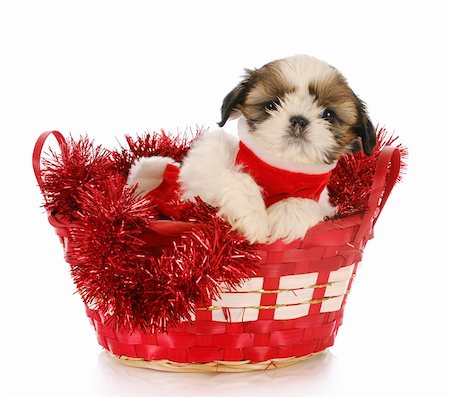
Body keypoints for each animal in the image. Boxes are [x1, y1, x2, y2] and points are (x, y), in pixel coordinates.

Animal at [127, 54, 376, 243]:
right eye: (271, 105)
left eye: (328, 115)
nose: (299, 120)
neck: (281, 170)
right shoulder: (207, 157)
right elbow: (234, 177)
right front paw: (253, 219)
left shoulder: (319, 198)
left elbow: (305, 201)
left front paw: (285, 217)